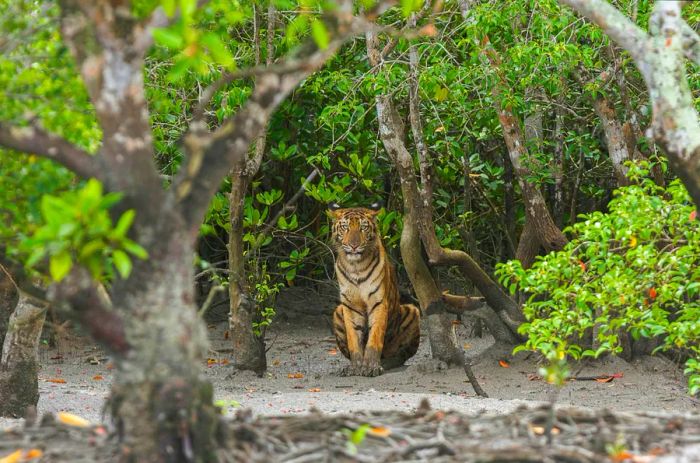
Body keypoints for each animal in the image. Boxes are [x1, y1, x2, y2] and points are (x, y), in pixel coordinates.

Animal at [330, 203, 422, 376]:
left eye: (363, 228)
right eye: (345, 227)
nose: (353, 246)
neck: (356, 266)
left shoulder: (378, 302)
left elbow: (375, 337)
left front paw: (371, 367)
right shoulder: (350, 306)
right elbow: (354, 339)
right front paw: (355, 367)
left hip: (412, 311)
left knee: (402, 354)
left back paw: (387, 362)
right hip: (338, 311)